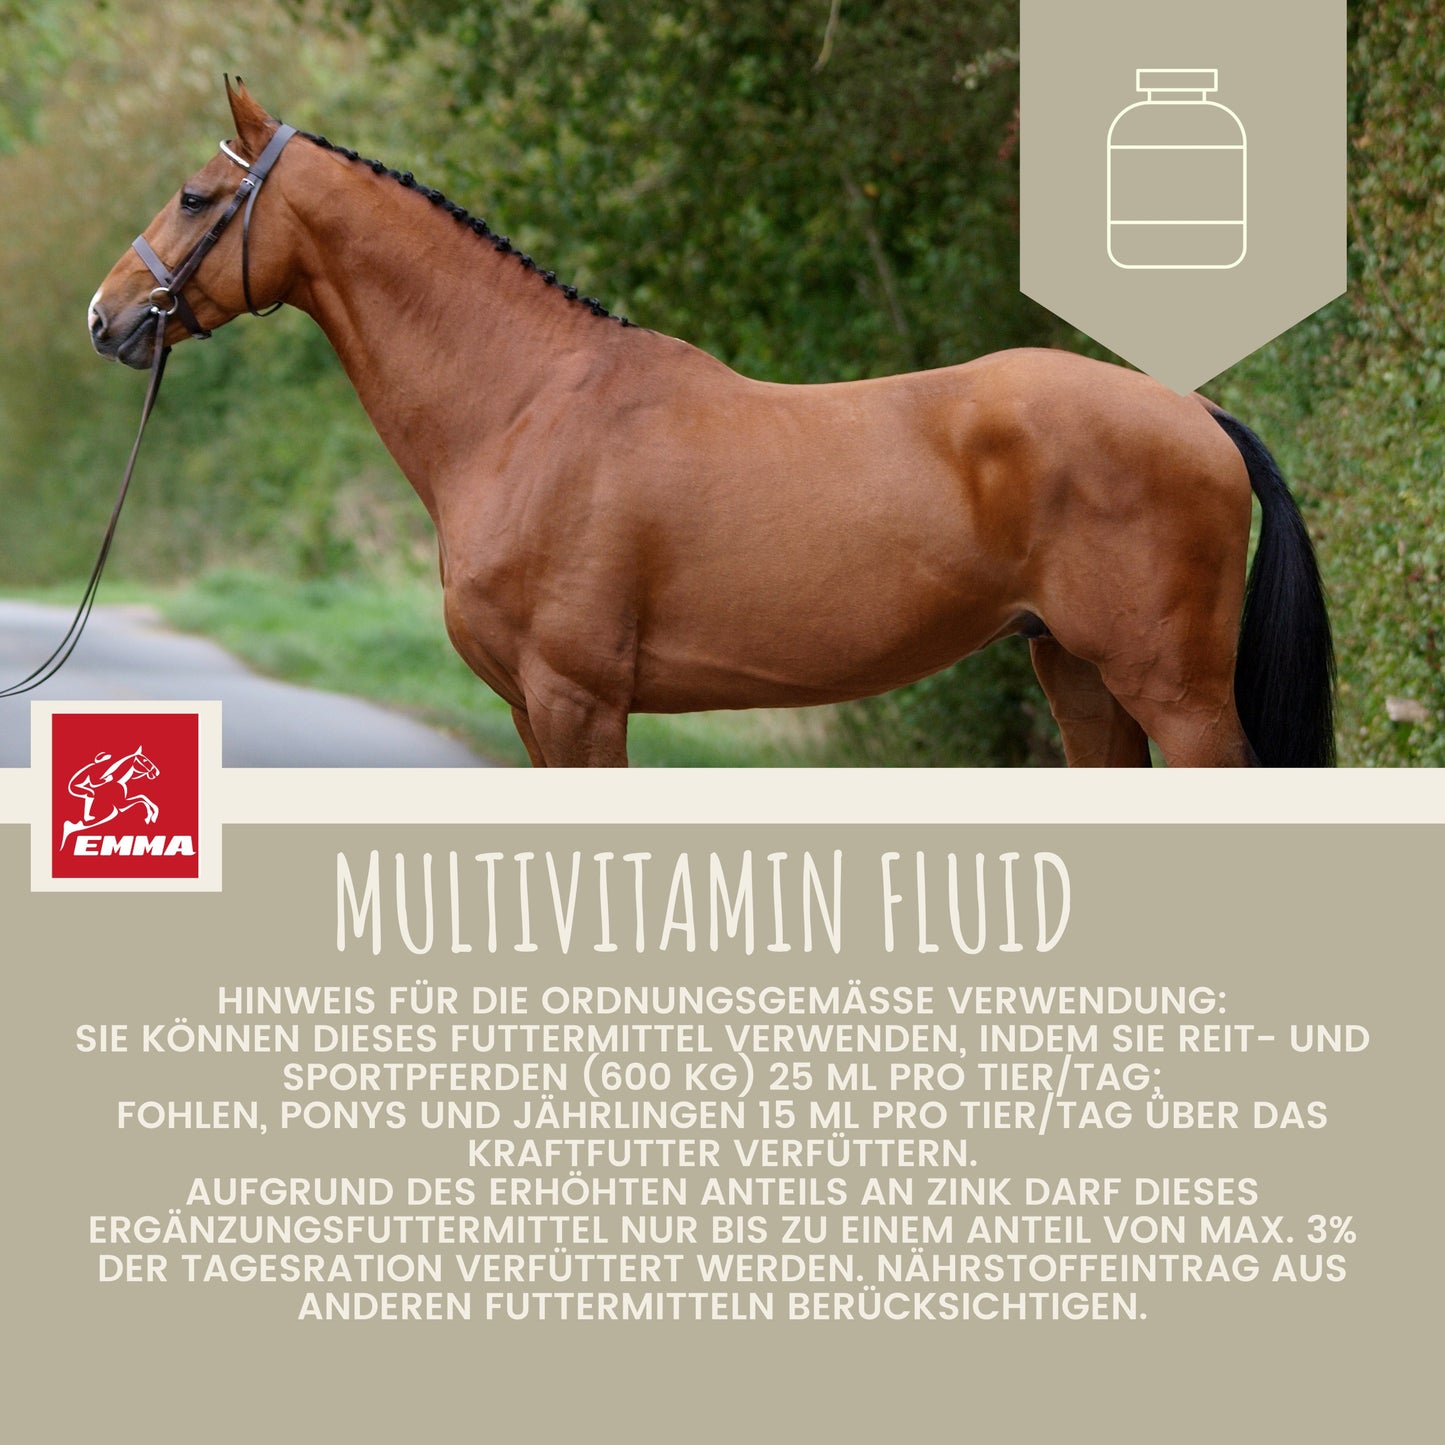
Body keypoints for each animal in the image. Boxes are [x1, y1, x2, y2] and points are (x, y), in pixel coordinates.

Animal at [88, 80, 1334, 768]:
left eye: (197, 197)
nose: (108, 317)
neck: (524, 409)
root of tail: (1196, 411)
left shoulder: (575, 702)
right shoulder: (531, 712)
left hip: (1173, 690)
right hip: (1076, 671)